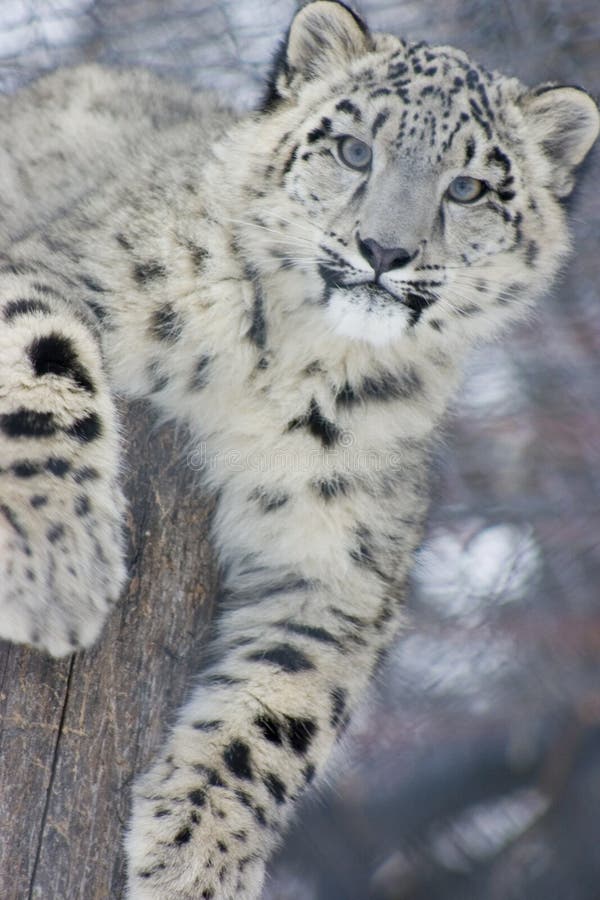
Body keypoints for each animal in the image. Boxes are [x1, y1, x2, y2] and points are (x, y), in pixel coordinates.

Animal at [0, 0, 596, 896]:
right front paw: (57, 573)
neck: (297, 359)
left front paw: (198, 858)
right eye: (354, 149)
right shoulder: (47, 270)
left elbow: (285, 709)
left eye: (467, 187)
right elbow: (46, 362)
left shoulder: (341, 562)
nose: (384, 251)